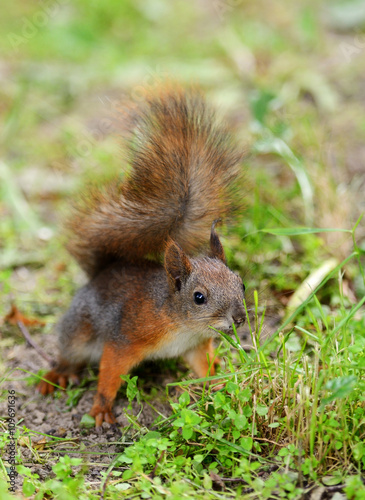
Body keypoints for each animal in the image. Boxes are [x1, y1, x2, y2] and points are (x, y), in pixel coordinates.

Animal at [37, 85, 246, 426]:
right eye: (199, 297)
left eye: (241, 284)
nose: (239, 318)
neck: (182, 324)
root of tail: (102, 272)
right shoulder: (125, 338)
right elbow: (110, 372)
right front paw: (101, 408)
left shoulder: (195, 347)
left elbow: (203, 366)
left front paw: (218, 383)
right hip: (79, 331)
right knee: (70, 355)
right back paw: (59, 374)